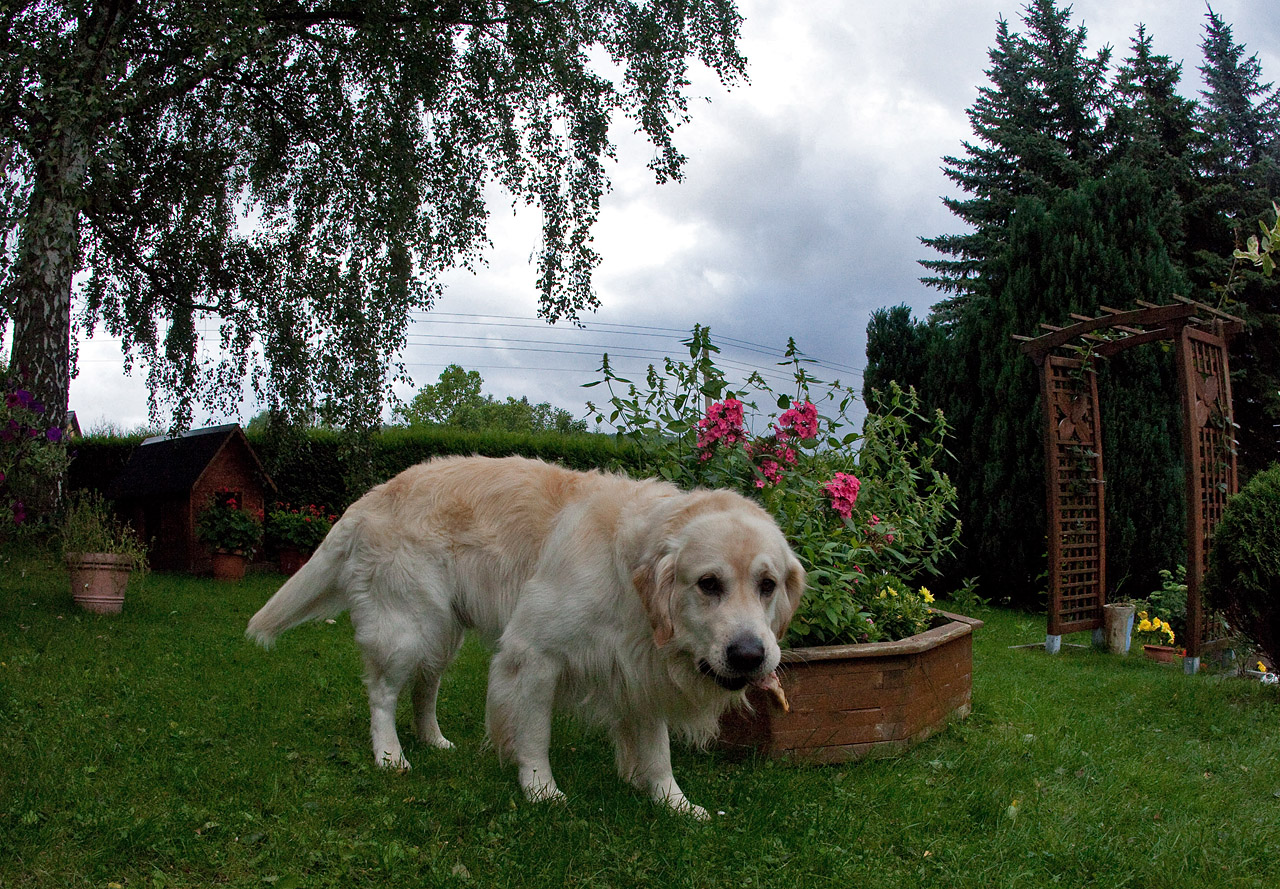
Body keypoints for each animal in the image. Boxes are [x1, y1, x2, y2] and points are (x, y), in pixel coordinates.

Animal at [246, 455, 805, 817]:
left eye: (768, 584)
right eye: (709, 583)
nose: (750, 655)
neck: (627, 571)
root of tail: (370, 497)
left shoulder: (637, 670)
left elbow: (657, 750)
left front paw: (676, 804)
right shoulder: (534, 654)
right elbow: (535, 735)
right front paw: (541, 792)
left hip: (441, 634)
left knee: (425, 690)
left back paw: (434, 740)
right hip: (407, 628)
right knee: (382, 694)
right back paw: (390, 755)